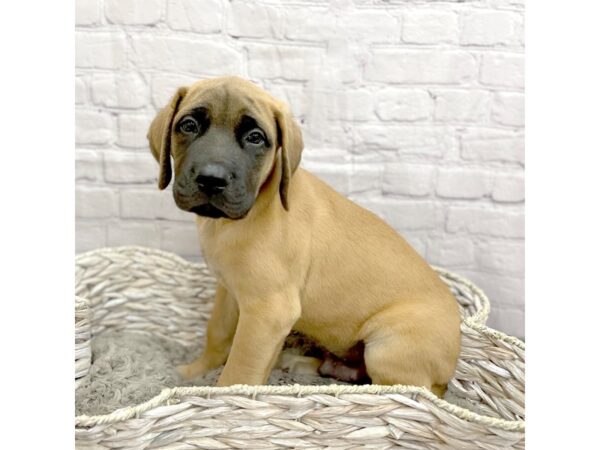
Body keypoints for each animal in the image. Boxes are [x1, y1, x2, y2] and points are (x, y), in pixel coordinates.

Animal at [149, 75, 460, 392]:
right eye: (188, 125)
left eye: (255, 138)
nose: (212, 179)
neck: (229, 223)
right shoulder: (229, 290)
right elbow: (218, 334)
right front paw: (194, 373)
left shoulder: (268, 311)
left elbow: (239, 371)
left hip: (387, 348)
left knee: (398, 389)